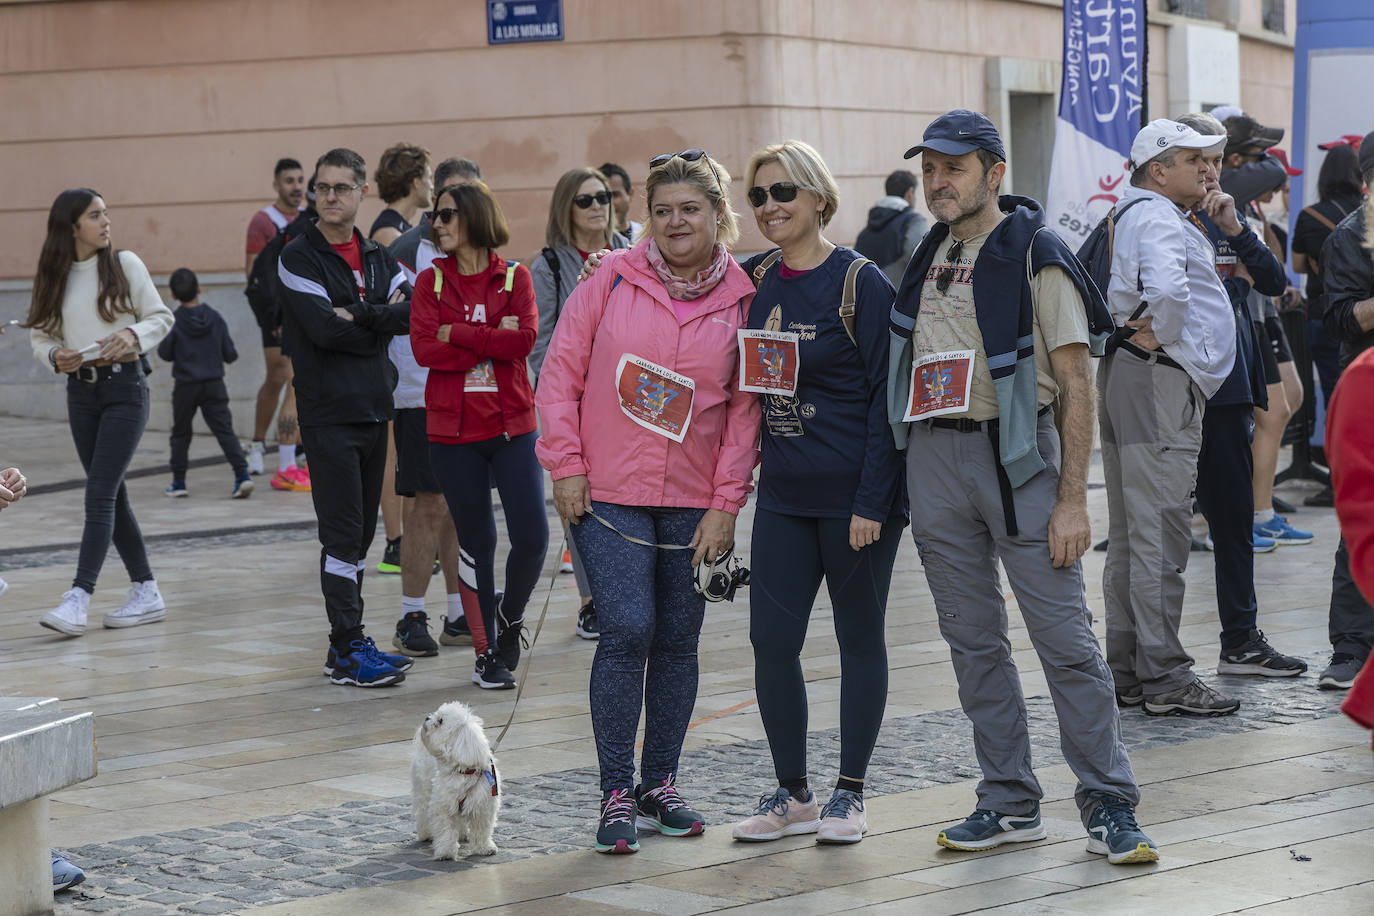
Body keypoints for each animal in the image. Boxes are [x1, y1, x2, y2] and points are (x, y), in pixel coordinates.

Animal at [409, 703, 502, 862]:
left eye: (440, 721)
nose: (427, 718)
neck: (463, 771)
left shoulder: (482, 806)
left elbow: (482, 830)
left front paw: (484, 848)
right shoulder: (443, 806)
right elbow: (445, 830)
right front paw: (445, 852)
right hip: (424, 789)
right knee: (423, 811)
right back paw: (426, 834)